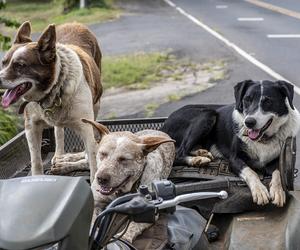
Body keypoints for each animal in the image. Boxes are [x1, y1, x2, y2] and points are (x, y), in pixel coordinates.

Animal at [0, 21, 102, 181]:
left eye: (20, 65)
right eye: (3, 63)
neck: (53, 89)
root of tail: (74, 23)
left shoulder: (86, 127)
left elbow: (93, 161)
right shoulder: (31, 126)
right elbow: (36, 161)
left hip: (96, 105)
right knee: (58, 130)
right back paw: (59, 155)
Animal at [162, 80, 300, 207]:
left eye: (268, 101)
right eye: (247, 99)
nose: (248, 122)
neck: (263, 139)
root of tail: (164, 124)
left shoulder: (276, 160)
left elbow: (278, 173)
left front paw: (278, 191)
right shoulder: (234, 159)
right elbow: (251, 172)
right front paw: (260, 191)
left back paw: (202, 153)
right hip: (207, 114)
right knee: (178, 153)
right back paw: (197, 160)